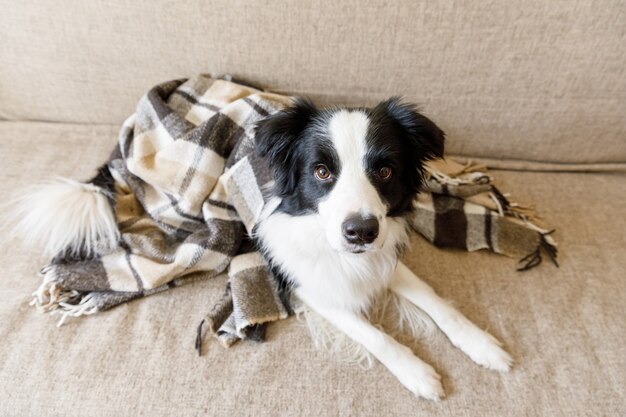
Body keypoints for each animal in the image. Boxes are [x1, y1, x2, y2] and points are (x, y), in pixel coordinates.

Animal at [251, 97, 510, 400]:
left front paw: (481, 344)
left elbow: (434, 300)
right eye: (322, 171)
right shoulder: (308, 287)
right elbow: (373, 334)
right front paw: (417, 372)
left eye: (385, 171)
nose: (361, 232)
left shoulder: (385, 256)